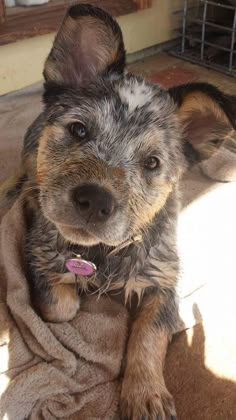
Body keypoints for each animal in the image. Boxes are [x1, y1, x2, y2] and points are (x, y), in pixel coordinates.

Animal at [2, 4, 236, 420]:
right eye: (79, 130)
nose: (95, 200)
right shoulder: (40, 254)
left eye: (152, 163)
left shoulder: (164, 281)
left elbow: (149, 333)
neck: (102, 255)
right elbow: (61, 308)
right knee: (25, 173)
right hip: (30, 151)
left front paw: (145, 393)